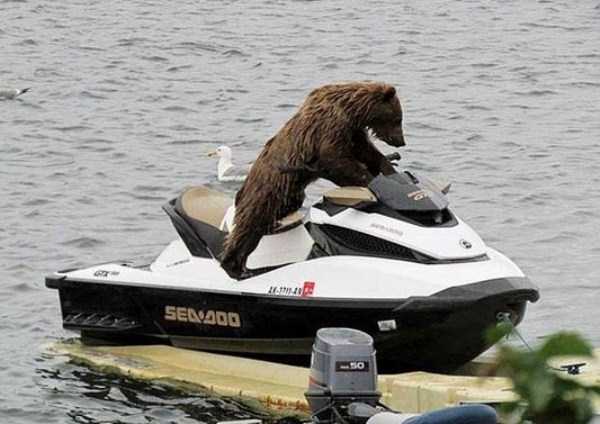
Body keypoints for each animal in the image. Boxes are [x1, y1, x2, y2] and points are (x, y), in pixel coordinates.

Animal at [221, 80, 408, 276]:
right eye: (398, 119)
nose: (400, 141)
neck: (350, 109)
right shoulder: (327, 129)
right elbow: (337, 161)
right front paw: (368, 180)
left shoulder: (352, 132)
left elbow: (367, 152)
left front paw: (389, 169)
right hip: (265, 193)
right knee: (248, 227)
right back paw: (233, 266)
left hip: (288, 196)